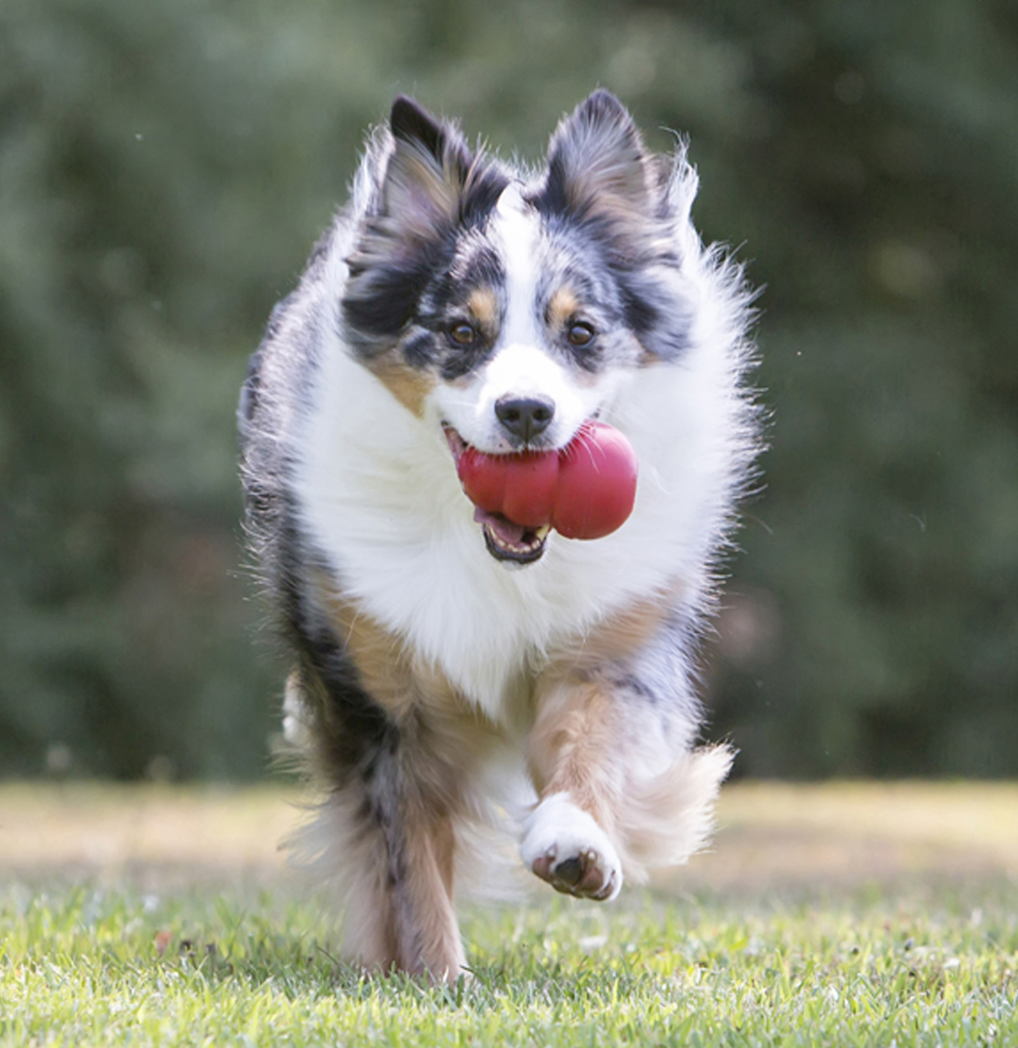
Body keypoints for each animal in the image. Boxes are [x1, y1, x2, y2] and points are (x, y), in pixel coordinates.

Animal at [241, 90, 754, 980]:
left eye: (580, 332)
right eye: (460, 333)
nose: (525, 412)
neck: (495, 553)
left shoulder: (614, 643)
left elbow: (591, 739)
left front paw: (577, 845)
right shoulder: (386, 702)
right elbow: (408, 856)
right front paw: (437, 977)